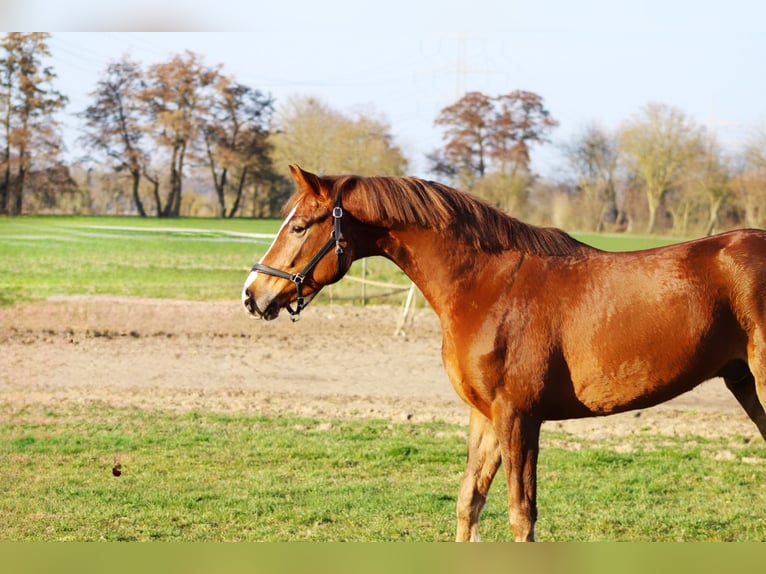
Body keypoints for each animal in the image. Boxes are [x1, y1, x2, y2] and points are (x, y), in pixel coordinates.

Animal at [242, 165, 766, 541]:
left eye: (299, 227)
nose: (252, 295)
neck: (488, 287)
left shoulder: (519, 417)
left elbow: (521, 514)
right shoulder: (486, 416)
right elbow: (468, 503)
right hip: (745, 385)